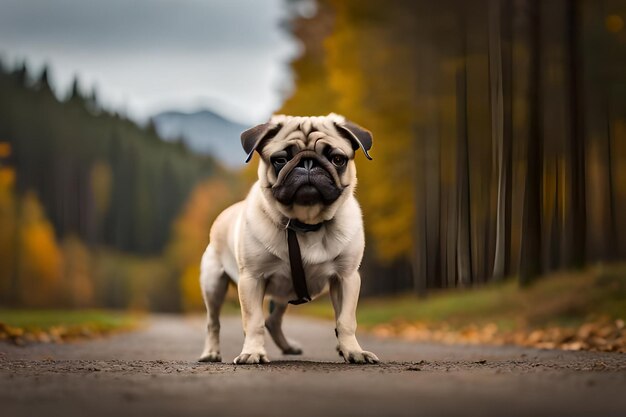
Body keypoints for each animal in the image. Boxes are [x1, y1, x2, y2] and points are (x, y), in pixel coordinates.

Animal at [197, 112, 378, 362]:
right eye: (280, 160)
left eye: (337, 159)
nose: (308, 163)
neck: (306, 224)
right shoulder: (252, 279)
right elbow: (253, 321)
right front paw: (252, 352)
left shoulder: (346, 278)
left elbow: (345, 321)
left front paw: (353, 351)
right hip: (213, 284)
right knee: (213, 322)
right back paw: (211, 353)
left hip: (283, 293)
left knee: (273, 321)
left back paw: (290, 347)